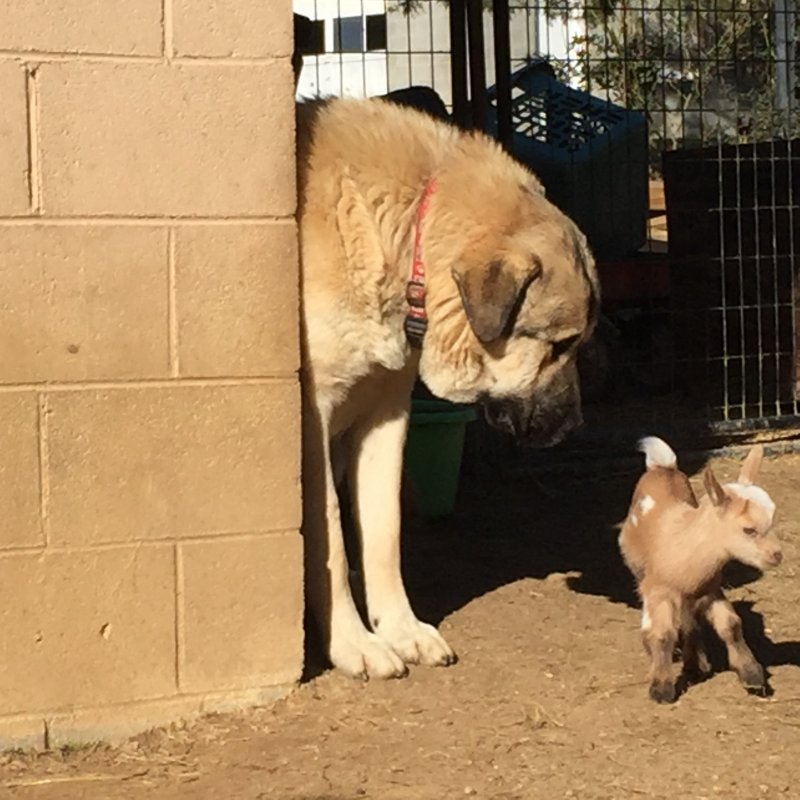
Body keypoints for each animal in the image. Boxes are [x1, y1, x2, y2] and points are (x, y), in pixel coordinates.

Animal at [296, 97, 596, 680]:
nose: (575, 426)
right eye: (560, 345)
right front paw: (353, 642)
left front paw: (401, 630)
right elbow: (332, 541)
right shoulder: (311, 420)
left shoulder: (385, 417)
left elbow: (383, 532)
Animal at [620, 434, 780, 704]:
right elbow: (661, 633)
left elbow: (731, 625)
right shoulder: (658, 589)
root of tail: (662, 466)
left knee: (689, 619)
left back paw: (697, 664)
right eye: (749, 530)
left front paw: (752, 675)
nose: (777, 555)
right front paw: (661, 689)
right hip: (638, 569)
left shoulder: (711, 588)